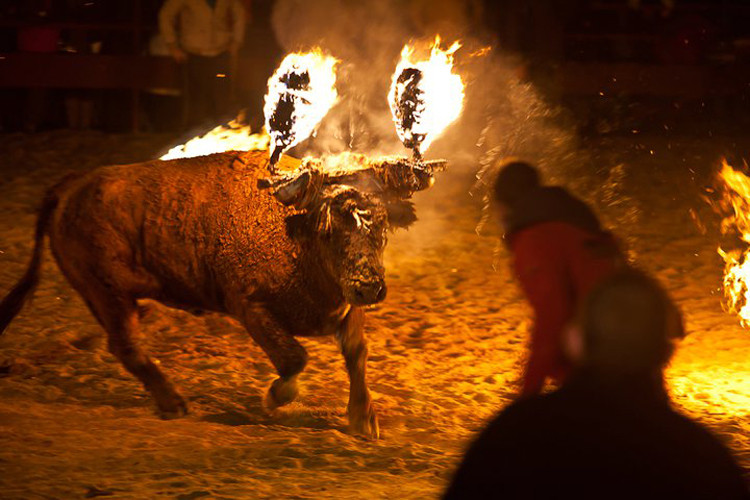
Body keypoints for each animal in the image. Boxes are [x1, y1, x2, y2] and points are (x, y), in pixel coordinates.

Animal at [0, 151, 440, 438]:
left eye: (381, 226)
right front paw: (275, 399)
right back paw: (174, 404)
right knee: (126, 346)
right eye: (329, 229)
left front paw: (364, 420)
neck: (294, 231)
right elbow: (294, 358)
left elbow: (357, 354)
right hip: (109, 293)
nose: (370, 286)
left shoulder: (344, 309)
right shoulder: (250, 306)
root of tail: (73, 184)